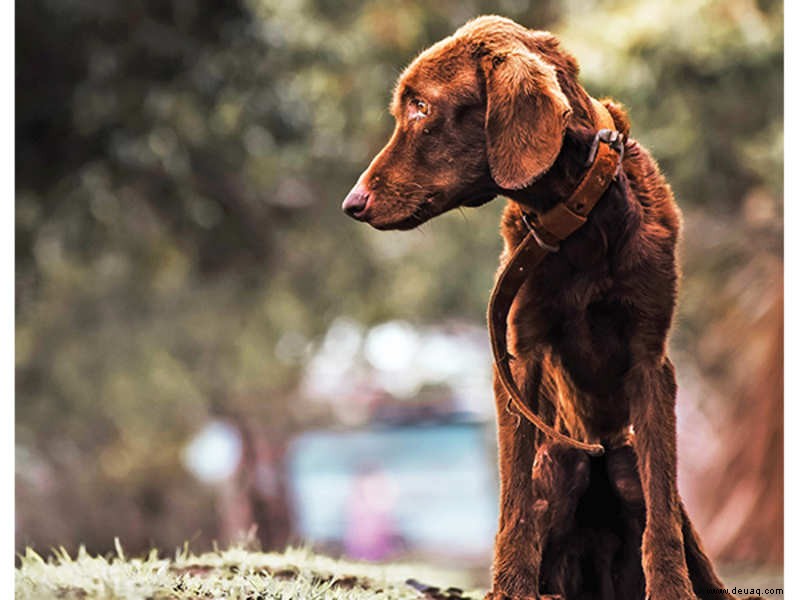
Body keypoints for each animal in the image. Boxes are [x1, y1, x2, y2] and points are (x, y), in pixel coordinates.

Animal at [340, 15, 736, 600]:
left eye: (421, 107)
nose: (352, 204)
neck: (581, 221)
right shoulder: (519, 358)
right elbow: (515, 502)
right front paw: (510, 588)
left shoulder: (651, 360)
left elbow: (660, 507)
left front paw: (671, 589)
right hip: (563, 457)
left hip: (622, 458)